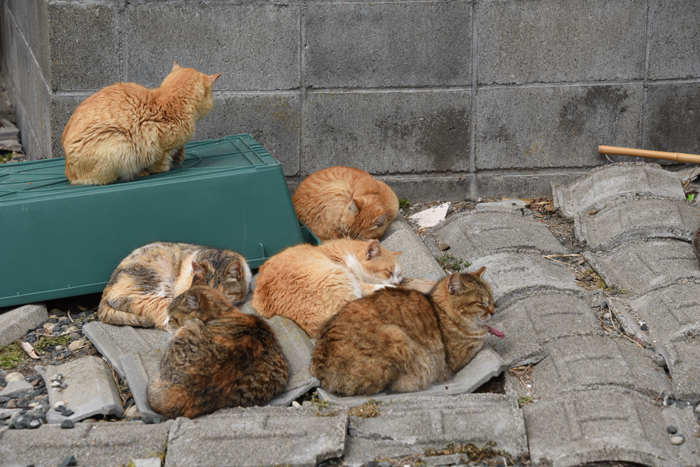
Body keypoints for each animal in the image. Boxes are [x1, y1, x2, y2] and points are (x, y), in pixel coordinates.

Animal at [64, 61, 221, 186]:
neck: (170, 102)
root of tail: (69, 172)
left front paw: (180, 156)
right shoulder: (161, 148)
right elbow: (160, 164)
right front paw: (165, 167)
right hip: (119, 146)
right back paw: (138, 173)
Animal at [254, 239, 402, 338]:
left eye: (399, 275)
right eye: (389, 272)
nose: (397, 283)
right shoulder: (355, 278)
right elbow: (371, 286)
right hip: (339, 275)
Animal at [308, 268, 500, 396]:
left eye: (492, 299)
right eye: (482, 303)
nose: (494, 311)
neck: (439, 309)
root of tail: (321, 369)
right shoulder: (456, 357)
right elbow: (480, 340)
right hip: (397, 336)